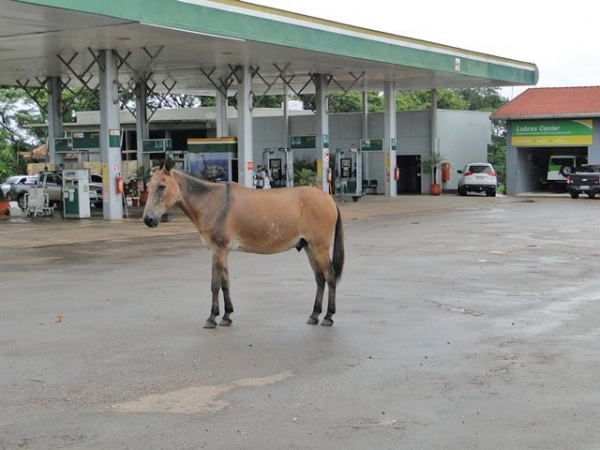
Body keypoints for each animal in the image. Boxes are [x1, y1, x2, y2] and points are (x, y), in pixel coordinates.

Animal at [142, 160, 344, 328]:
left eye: (161, 187)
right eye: (148, 187)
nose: (148, 219)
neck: (213, 203)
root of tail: (329, 199)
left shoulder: (218, 250)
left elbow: (215, 284)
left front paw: (212, 318)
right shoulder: (222, 251)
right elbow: (225, 282)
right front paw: (226, 316)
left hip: (319, 248)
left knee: (330, 277)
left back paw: (328, 317)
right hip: (309, 247)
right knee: (320, 279)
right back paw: (314, 315)